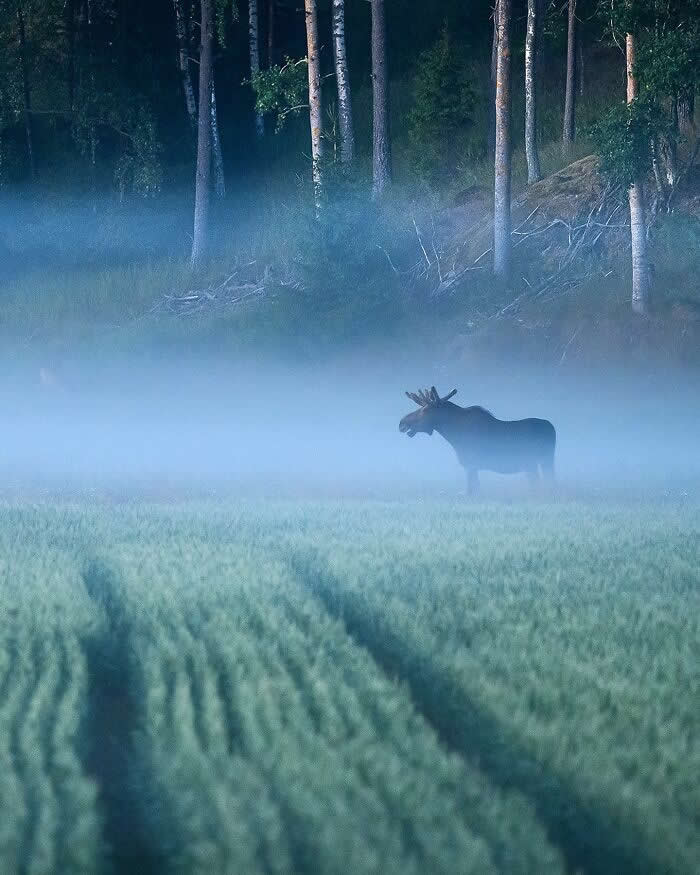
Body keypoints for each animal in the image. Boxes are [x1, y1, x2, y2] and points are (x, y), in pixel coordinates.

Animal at [400, 388, 556, 496]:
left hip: (537, 462)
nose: (402, 422)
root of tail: (552, 428)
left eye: (425, 410)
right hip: (538, 463)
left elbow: (472, 491)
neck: (452, 433)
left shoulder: (471, 465)